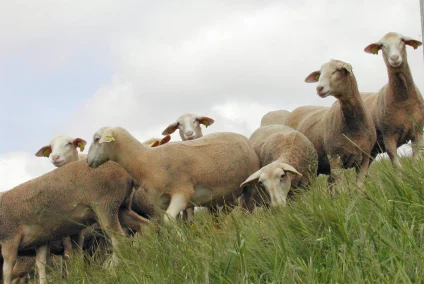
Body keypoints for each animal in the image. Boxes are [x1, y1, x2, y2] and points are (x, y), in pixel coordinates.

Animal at [0, 160, 149, 284]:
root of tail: (126, 173)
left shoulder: (10, 239)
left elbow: (7, 271)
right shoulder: (41, 239)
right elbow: (41, 265)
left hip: (105, 206)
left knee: (119, 240)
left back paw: (112, 271)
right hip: (121, 207)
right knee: (144, 225)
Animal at [86, 125, 260, 223]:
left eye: (96, 139)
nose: (88, 161)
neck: (148, 161)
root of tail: (243, 137)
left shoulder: (182, 193)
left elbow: (169, 219)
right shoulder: (161, 202)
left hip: (249, 186)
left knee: (248, 207)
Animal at [362, 32, 424, 168]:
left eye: (402, 40)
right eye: (381, 45)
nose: (394, 58)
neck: (404, 101)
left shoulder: (418, 132)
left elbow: (416, 161)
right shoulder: (388, 136)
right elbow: (397, 166)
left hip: (372, 151)